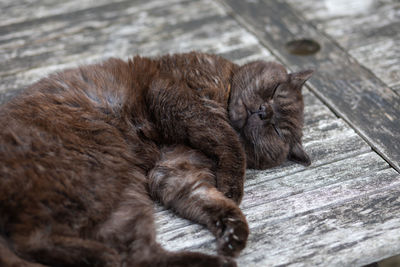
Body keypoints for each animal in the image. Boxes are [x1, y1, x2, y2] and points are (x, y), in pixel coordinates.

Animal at [0, 52, 312, 267]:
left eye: (276, 130)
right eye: (273, 92)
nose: (263, 112)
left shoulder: (175, 172)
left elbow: (209, 200)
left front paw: (233, 232)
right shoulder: (175, 97)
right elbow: (226, 138)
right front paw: (232, 187)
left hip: (123, 199)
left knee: (140, 256)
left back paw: (215, 261)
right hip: (92, 175)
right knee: (30, 239)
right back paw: (100, 255)